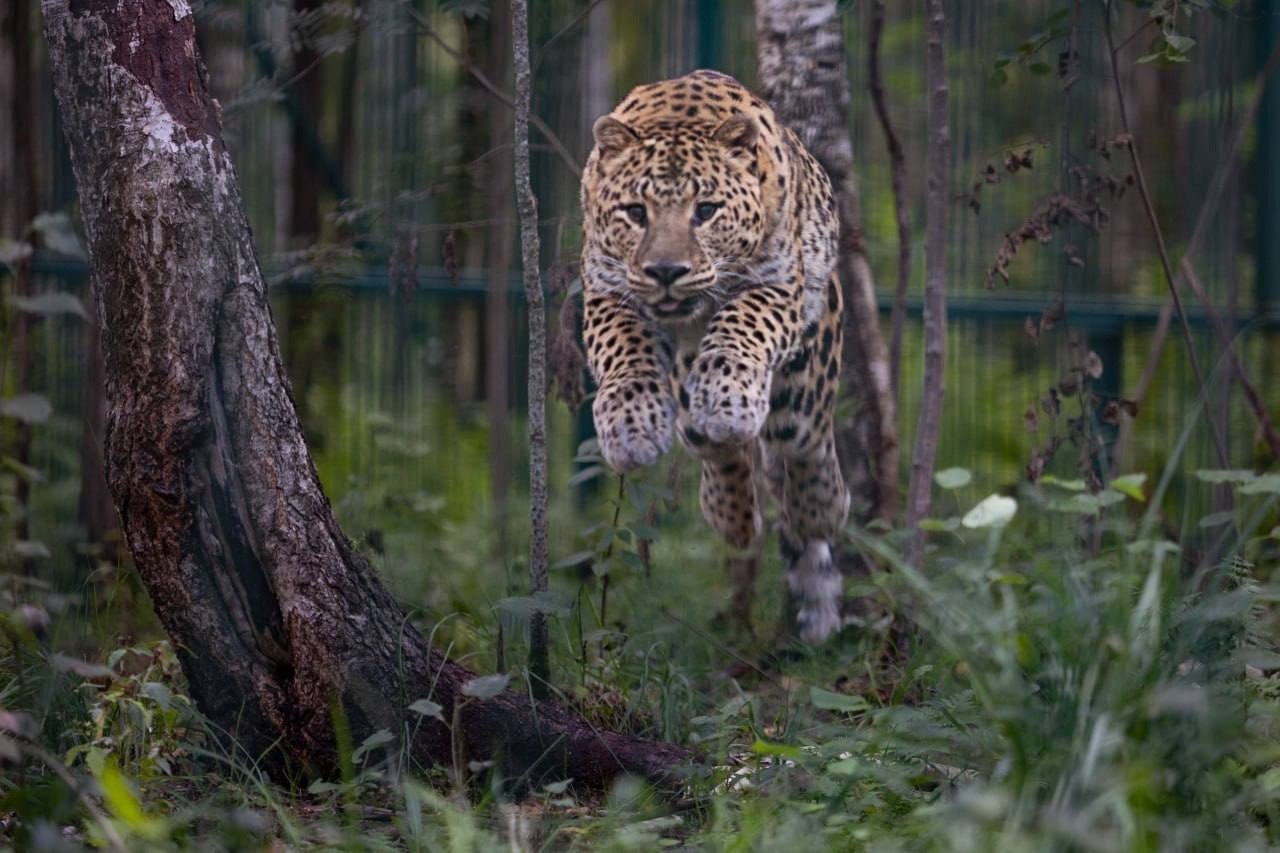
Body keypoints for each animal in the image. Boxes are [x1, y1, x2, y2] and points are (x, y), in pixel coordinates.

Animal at [581, 69, 849, 640]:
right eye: (635, 212)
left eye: (705, 211)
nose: (665, 271)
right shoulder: (606, 292)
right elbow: (624, 353)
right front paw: (631, 425)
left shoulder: (777, 286)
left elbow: (740, 323)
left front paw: (727, 389)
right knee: (718, 447)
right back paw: (734, 515)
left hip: (810, 362)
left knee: (803, 441)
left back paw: (820, 507)